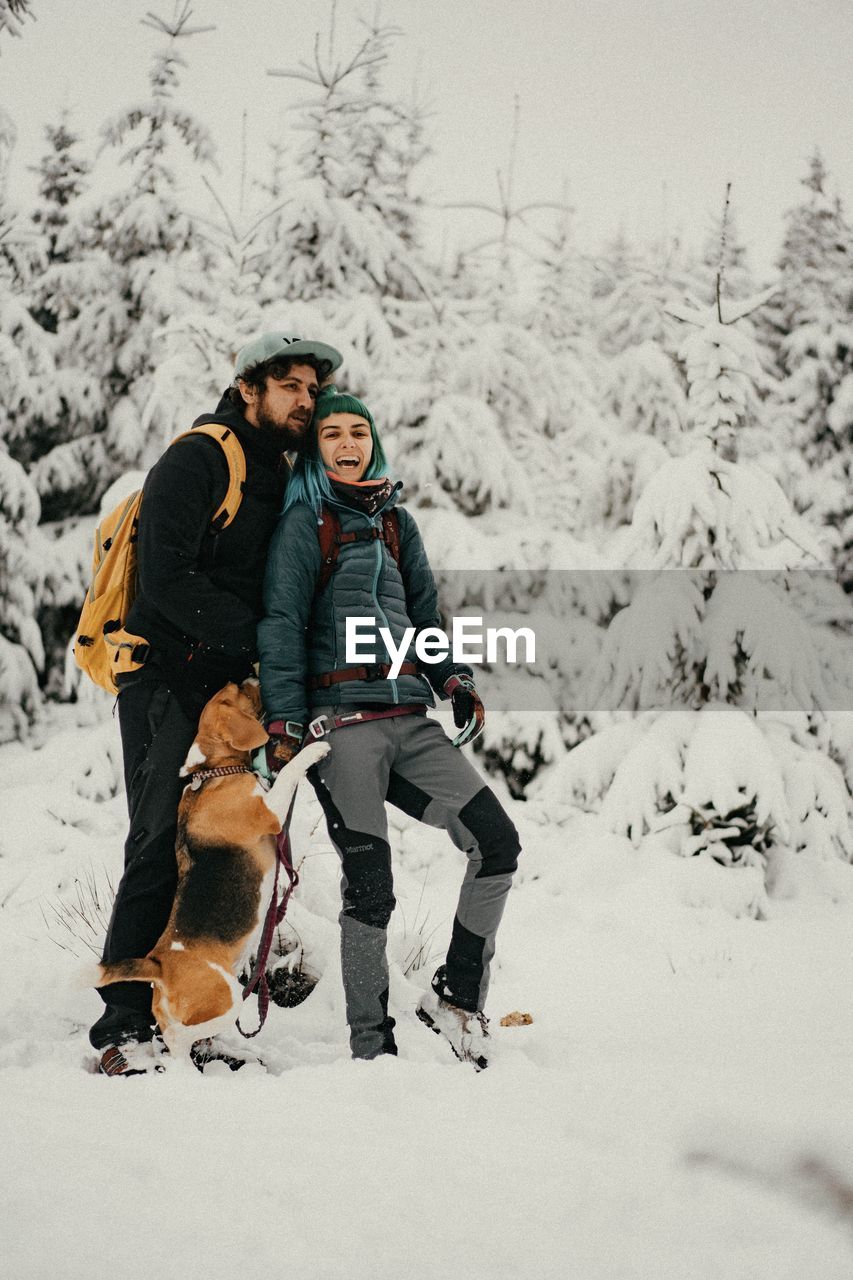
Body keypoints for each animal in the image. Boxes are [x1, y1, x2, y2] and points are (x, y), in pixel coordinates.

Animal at [94, 680, 326, 1059]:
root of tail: (158, 964)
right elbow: (290, 773)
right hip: (227, 998)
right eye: (238, 692)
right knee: (180, 1037)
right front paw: (314, 749)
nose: (253, 675)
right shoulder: (270, 811)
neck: (213, 770)